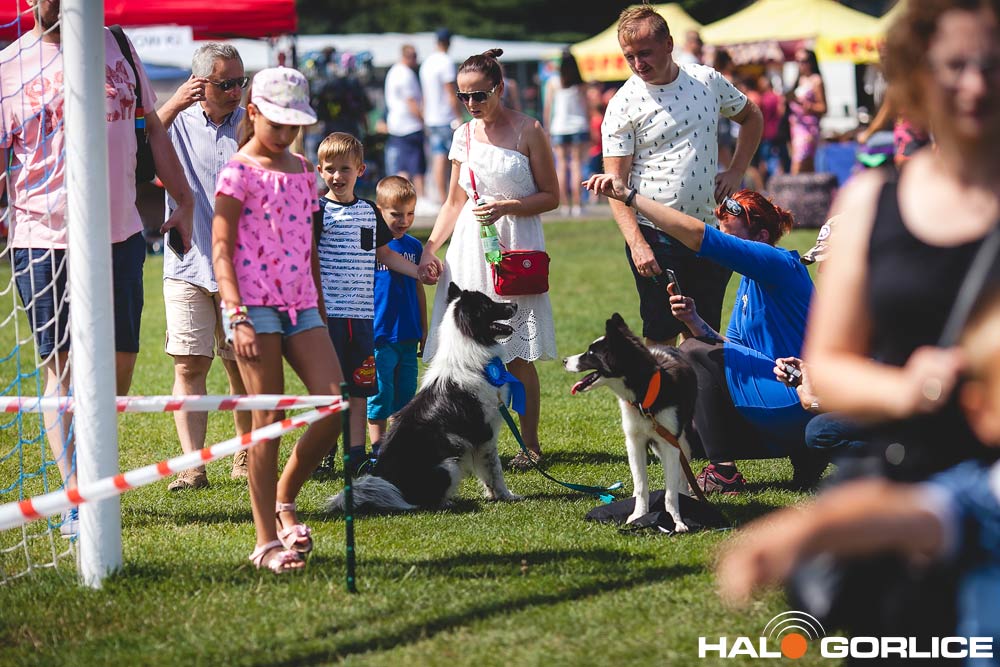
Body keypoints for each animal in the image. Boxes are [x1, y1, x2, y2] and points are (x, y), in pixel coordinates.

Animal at [327, 283, 521, 513]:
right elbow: (495, 469)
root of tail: (387, 483)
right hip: (449, 465)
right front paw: (507, 495)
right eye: (489, 305)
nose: (515, 304)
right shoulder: (486, 433)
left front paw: (493, 494)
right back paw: (447, 502)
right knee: (424, 501)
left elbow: (486, 474)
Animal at [564, 313, 697, 532]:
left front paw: (676, 520)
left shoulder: (670, 443)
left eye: (591, 353)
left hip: (683, 441)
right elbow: (641, 485)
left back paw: (685, 495)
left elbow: (671, 491)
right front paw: (638, 515)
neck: (644, 393)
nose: (564, 360)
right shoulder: (634, 441)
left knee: (682, 472)